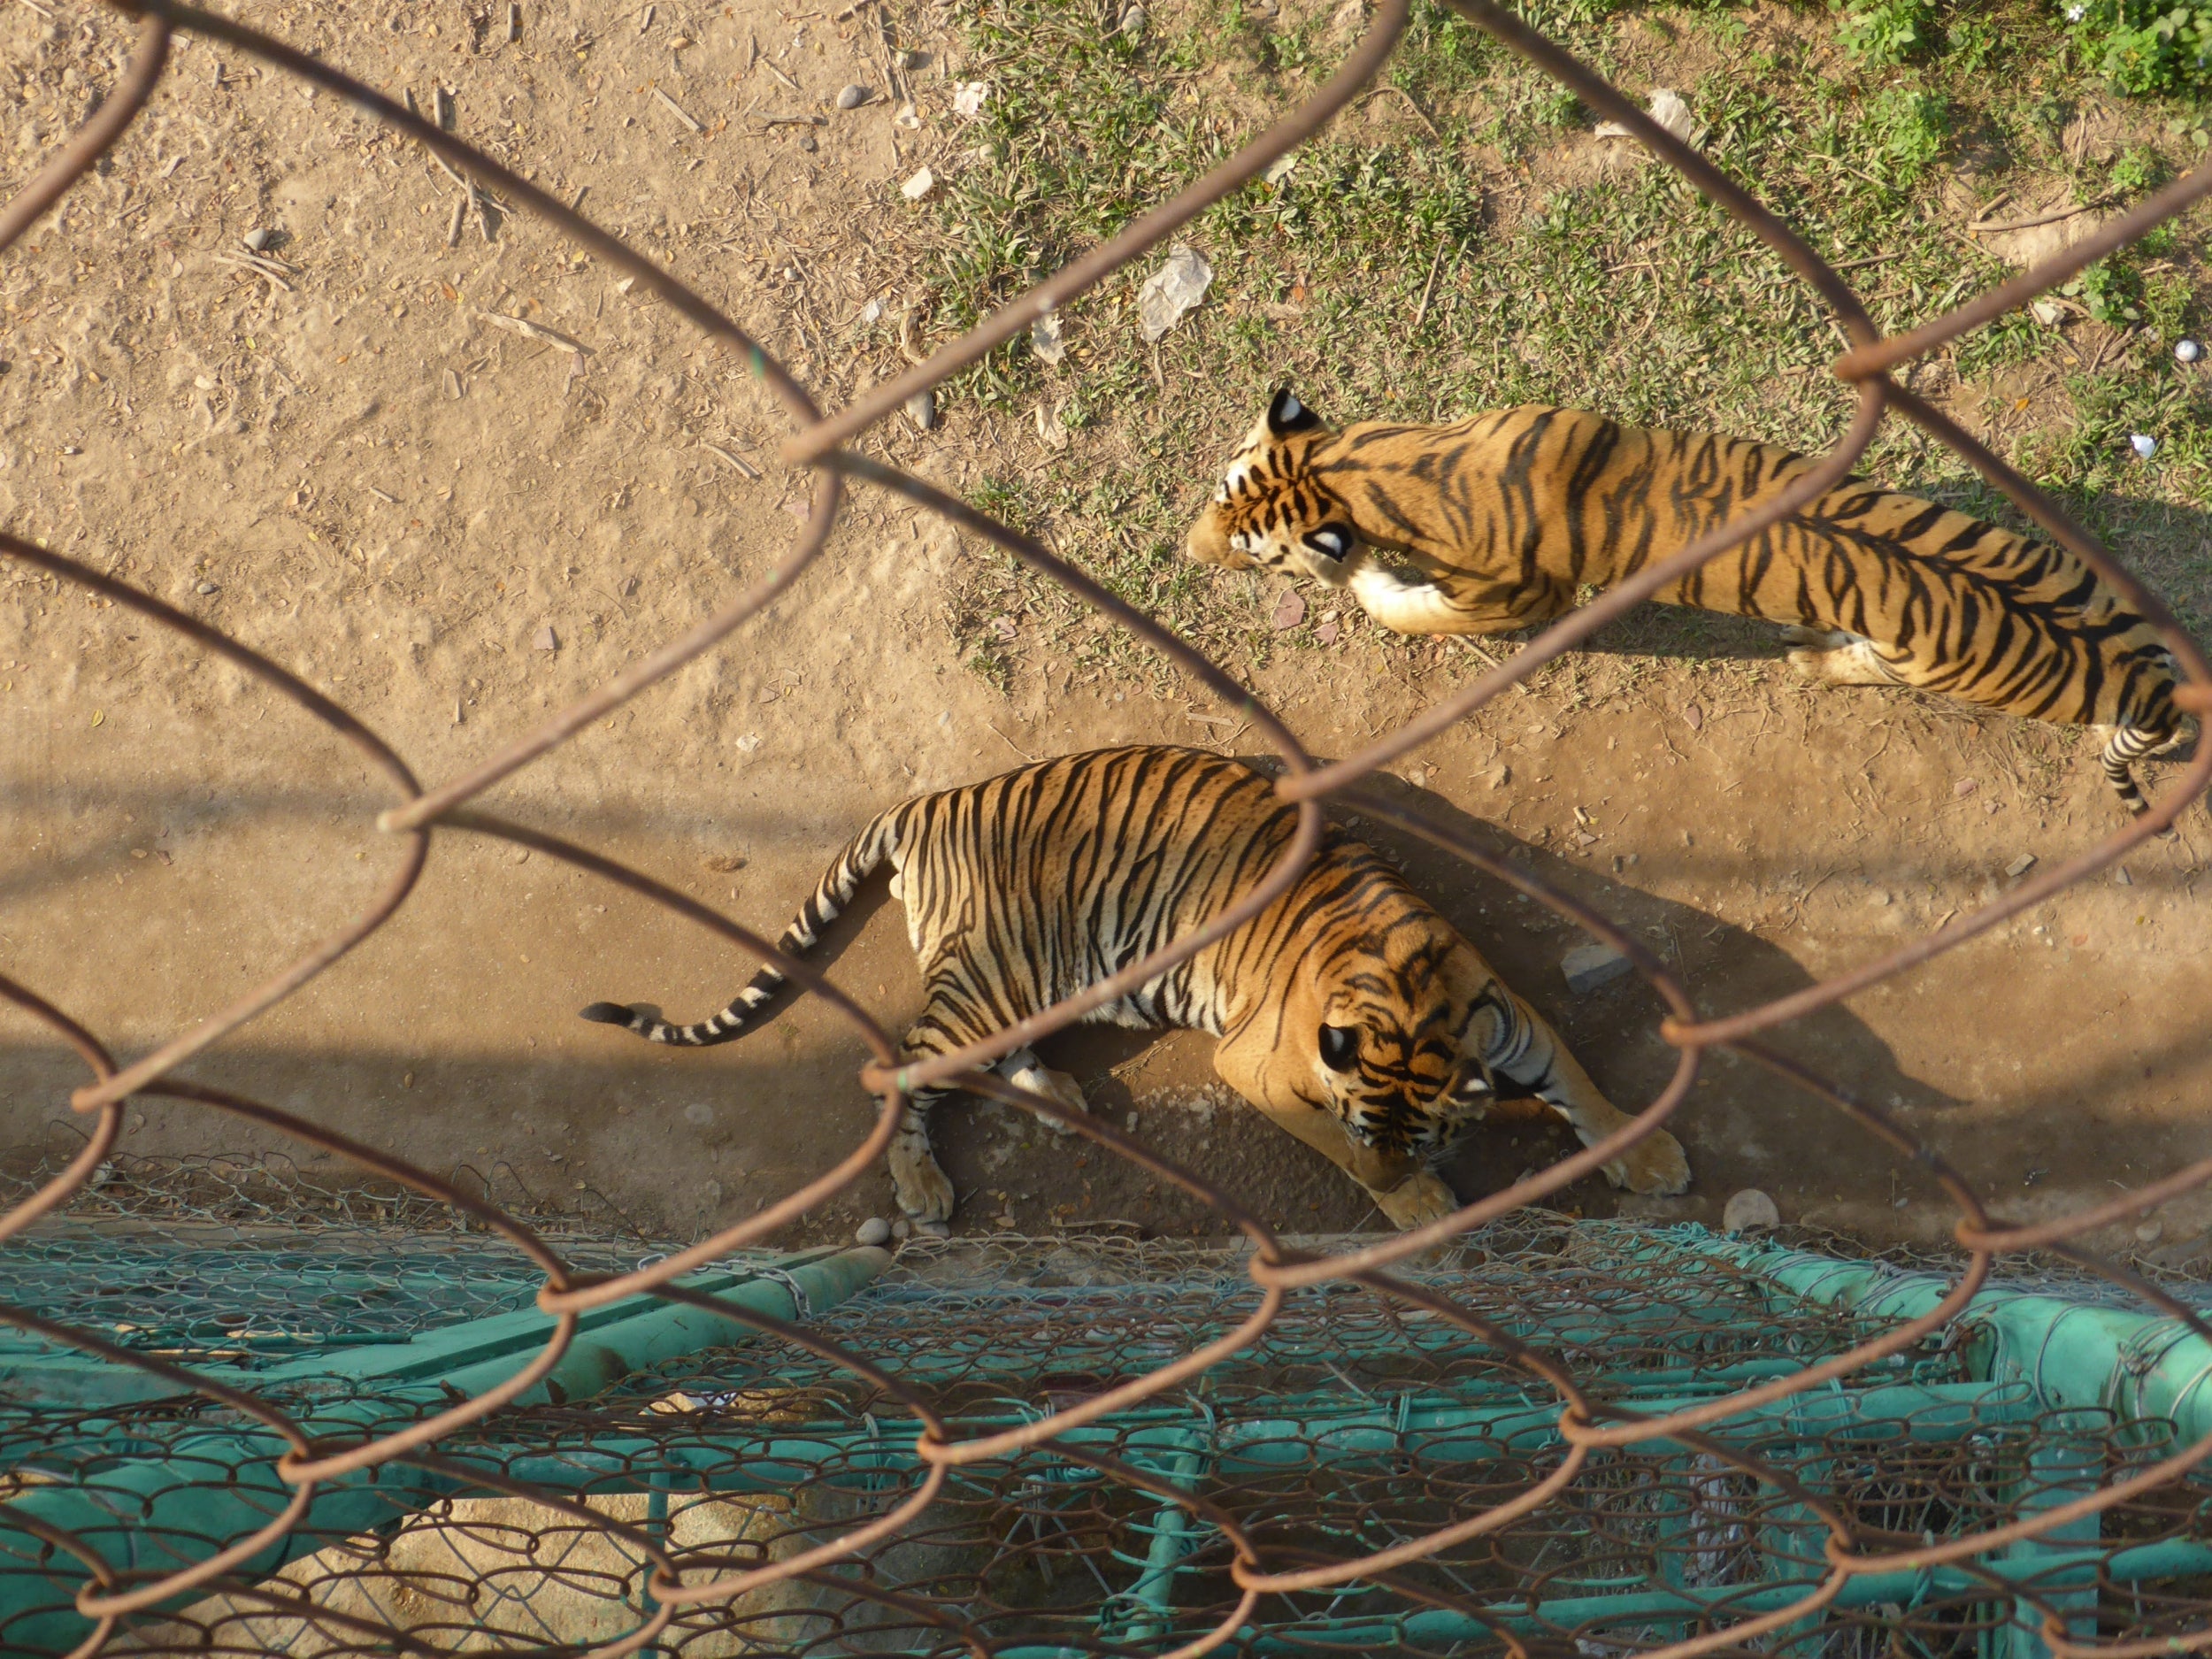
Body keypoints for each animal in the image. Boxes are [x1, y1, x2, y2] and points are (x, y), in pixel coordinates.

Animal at [578, 746, 1689, 1232]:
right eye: (1372, 1136)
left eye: (1426, 1131)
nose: (1400, 1175)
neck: (1413, 1005)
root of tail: (930, 802)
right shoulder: (1254, 1066)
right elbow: (1320, 1138)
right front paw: (1412, 1206)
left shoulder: (1514, 1017)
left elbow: (1583, 1086)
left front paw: (1648, 1154)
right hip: (995, 982)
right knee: (901, 1069)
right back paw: (923, 1188)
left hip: (1025, 989)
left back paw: (1059, 1097)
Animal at [1187, 389, 2189, 815]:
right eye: (1221, 486)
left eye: (1250, 550)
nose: (1187, 547)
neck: (1363, 466)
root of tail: (2137, 678)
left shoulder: (1517, 594)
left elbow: (1413, 606)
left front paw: (1358, 578)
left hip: (1926, 662)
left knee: (1865, 668)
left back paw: (1809, 653)